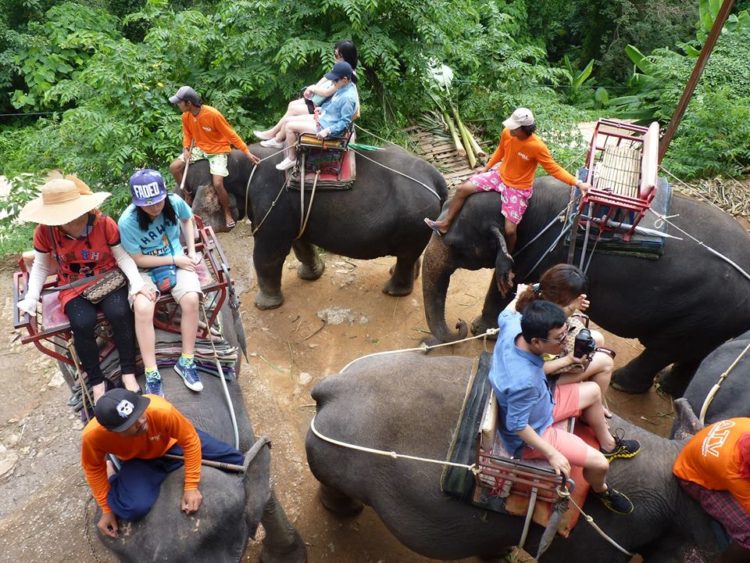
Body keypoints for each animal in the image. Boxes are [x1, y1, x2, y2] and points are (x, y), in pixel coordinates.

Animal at [187, 145, 446, 310]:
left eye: (189, 192)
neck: (241, 161)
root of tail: (437, 178)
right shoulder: (295, 208)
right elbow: (299, 241)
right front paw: (311, 275)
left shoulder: (272, 203)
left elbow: (267, 253)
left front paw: (264, 306)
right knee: (409, 255)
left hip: (414, 218)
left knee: (406, 255)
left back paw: (392, 291)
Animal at [420, 177, 750, 396]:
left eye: (455, 245)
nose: (458, 326)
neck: (530, 199)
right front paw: (484, 328)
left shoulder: (542, 251)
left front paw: (483, 329)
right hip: (714, 321)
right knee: (696, 354)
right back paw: (668, 389)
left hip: (704, 314)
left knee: (664, 348)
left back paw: (622, 383)